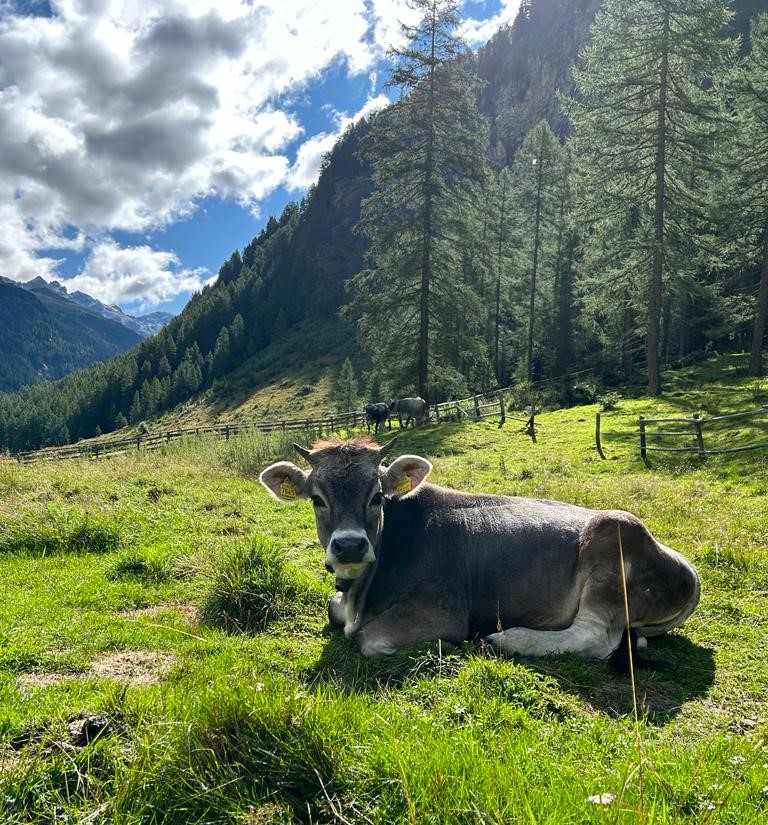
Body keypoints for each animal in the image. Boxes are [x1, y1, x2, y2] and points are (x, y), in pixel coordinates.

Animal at [259, 438, 700, 662]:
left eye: (377, 496)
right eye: (317, 499)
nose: (349, 545)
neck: (362, 596)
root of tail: (682, 564)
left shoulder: (442, 609)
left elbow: (370, 639)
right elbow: (331, 608)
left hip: (613, 536)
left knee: (597, 638)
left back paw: (509, 640)